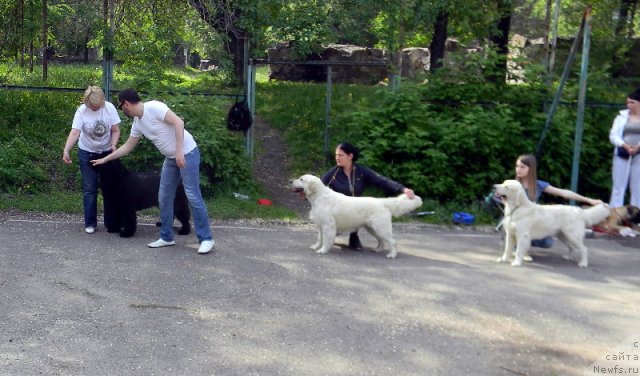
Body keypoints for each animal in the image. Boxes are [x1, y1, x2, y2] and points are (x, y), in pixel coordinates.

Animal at [288, 174, 420, 258]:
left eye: (301, 179)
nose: (290, 181)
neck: (319, 197)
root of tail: (382, 202)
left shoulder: (328, 226)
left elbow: (326, 240)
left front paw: (323, 250)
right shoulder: (321, 225)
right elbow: (319, 238)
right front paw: (316, 246)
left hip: (381, 228)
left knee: (392, 241)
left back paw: (392, 255)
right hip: (372, 228)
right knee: (381, 240)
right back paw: (377, 249)